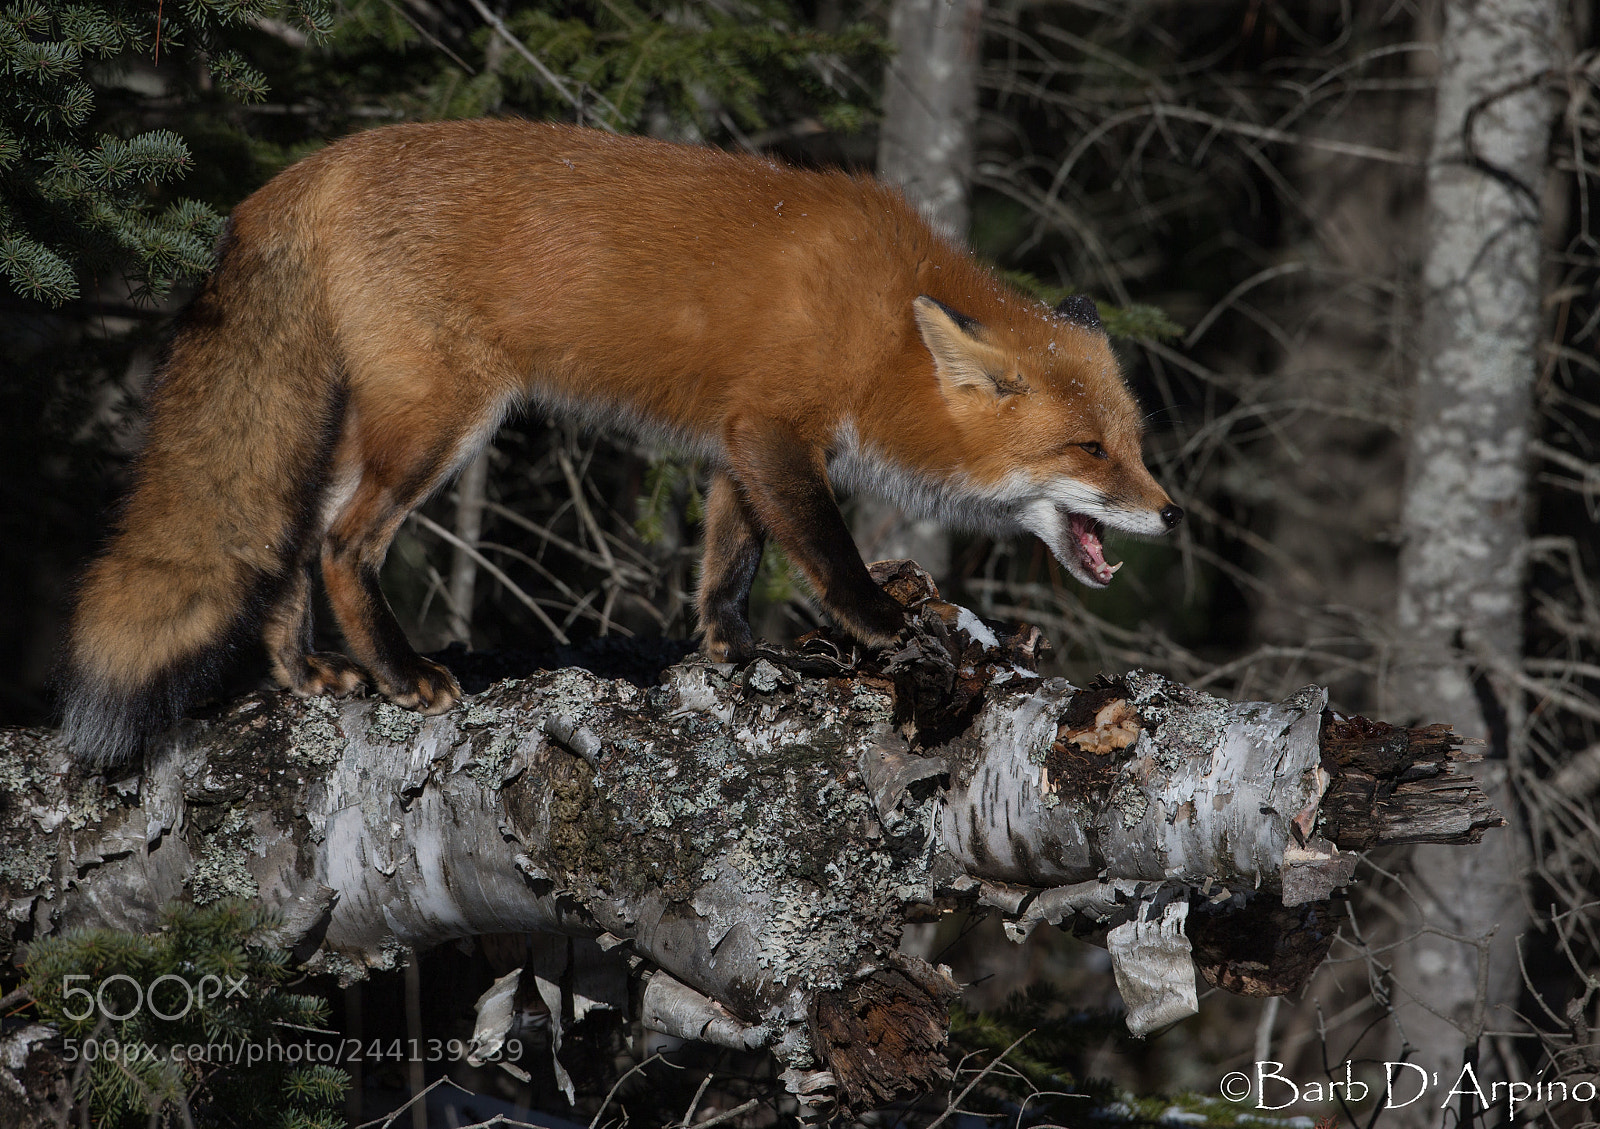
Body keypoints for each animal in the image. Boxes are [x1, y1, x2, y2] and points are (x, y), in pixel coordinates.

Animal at [59, 118, 1181, 765]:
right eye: (1088, 451)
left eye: (1133, 443)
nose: (1169, 513)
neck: (879, 325)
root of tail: (312, 168)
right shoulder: (779, 431)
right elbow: (824, 551)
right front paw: (880, 622)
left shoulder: (741, 439)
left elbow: (729, 565)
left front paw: (737, 653)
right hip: (442, 420)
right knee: (344, 544)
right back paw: (402, 673)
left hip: (372, 426)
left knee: (297, 535)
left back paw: (305, 675)